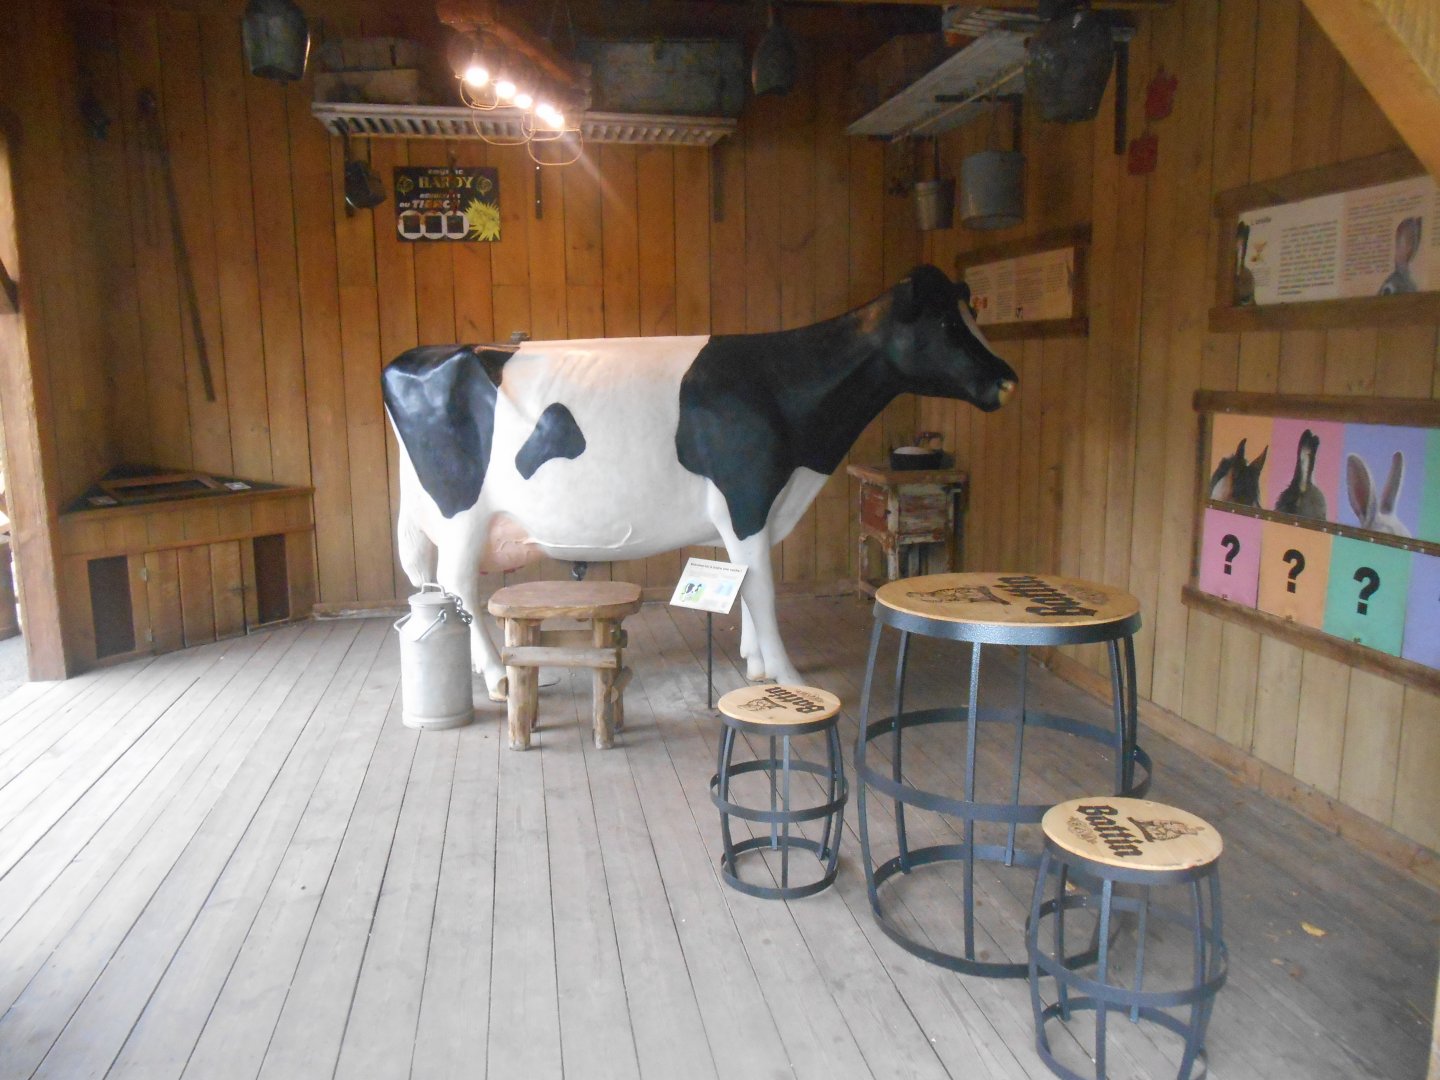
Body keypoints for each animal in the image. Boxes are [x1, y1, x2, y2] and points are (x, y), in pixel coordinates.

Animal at [382, 264, 1017, 701]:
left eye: (972, 314)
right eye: (944, 322)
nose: (1008, 379)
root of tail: (415, 356)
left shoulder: (756, 511)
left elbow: (746, 583)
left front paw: (756, 663)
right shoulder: (748, 497)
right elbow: (763, 589)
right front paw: (786, 674)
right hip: (462, 515)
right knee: (458, 585)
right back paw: (495, 677)